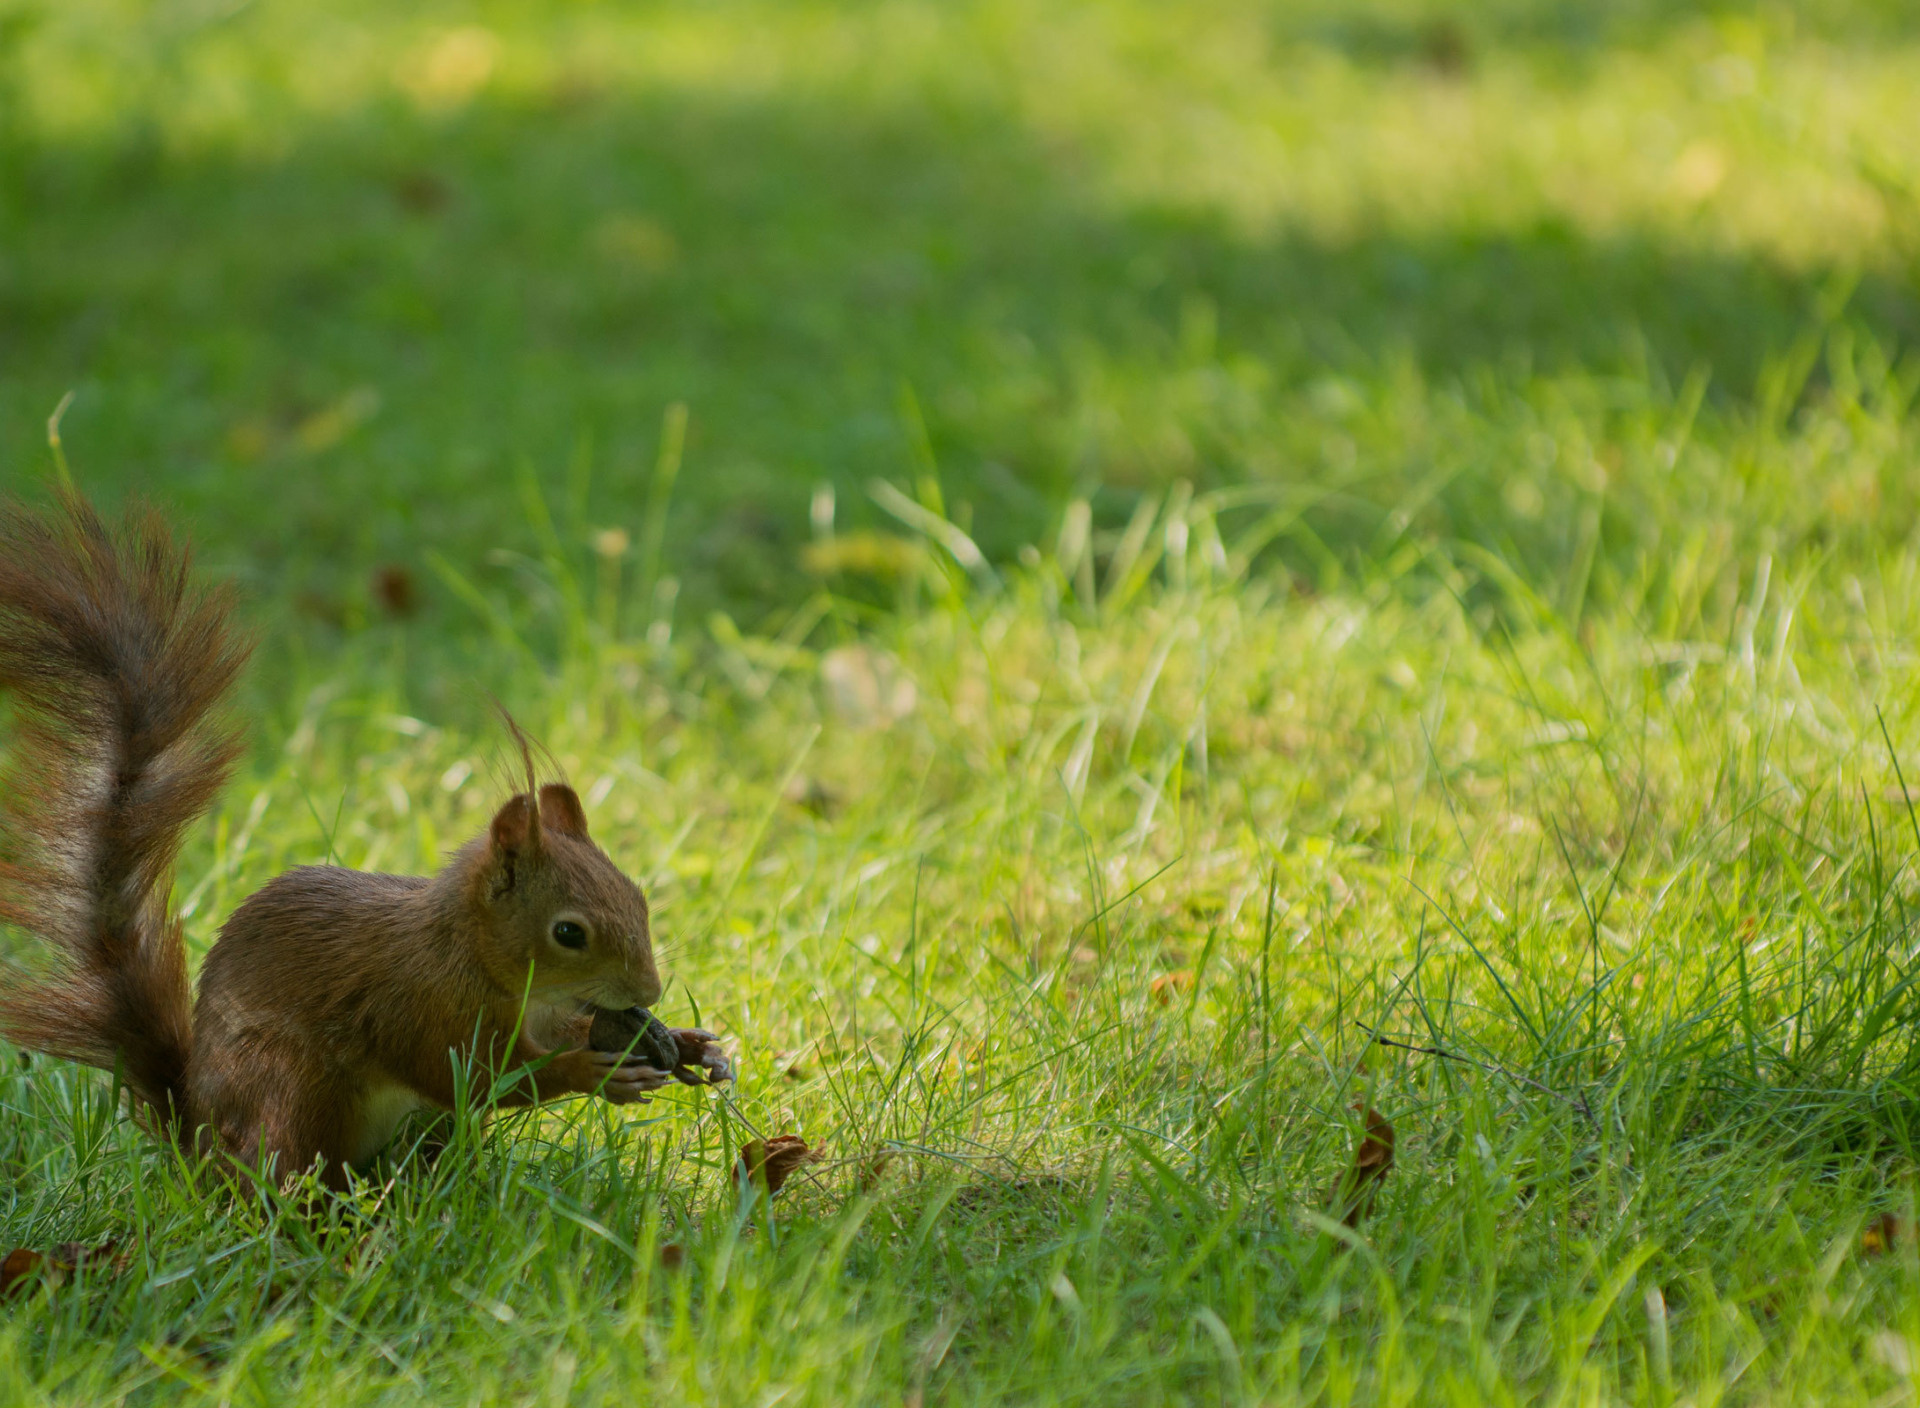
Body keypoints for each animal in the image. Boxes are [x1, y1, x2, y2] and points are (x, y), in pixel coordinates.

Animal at [0, 495, 725, 1183]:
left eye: (638, 897)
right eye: (569, 933)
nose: (648, 990)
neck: (475, 954)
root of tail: (200, 1144)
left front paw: (688, 1042)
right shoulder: (420, 1006)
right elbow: (473, 1076)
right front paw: (593, 1072)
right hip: (296, 1089)